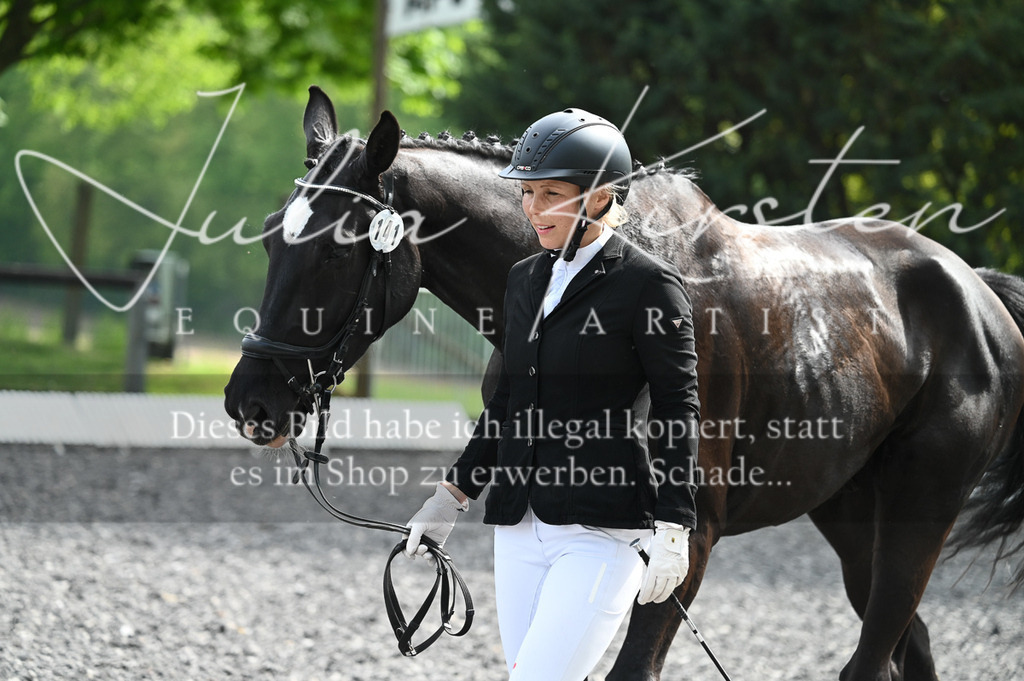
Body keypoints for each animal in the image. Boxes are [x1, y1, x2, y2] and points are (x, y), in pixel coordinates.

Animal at [224, 86, 1024, 681]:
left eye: (336, 251)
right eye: (268, 233)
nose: (250, 402)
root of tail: (975, 292)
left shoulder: (687, 542)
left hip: (922, 504)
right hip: (851, 510)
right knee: (909, 643)